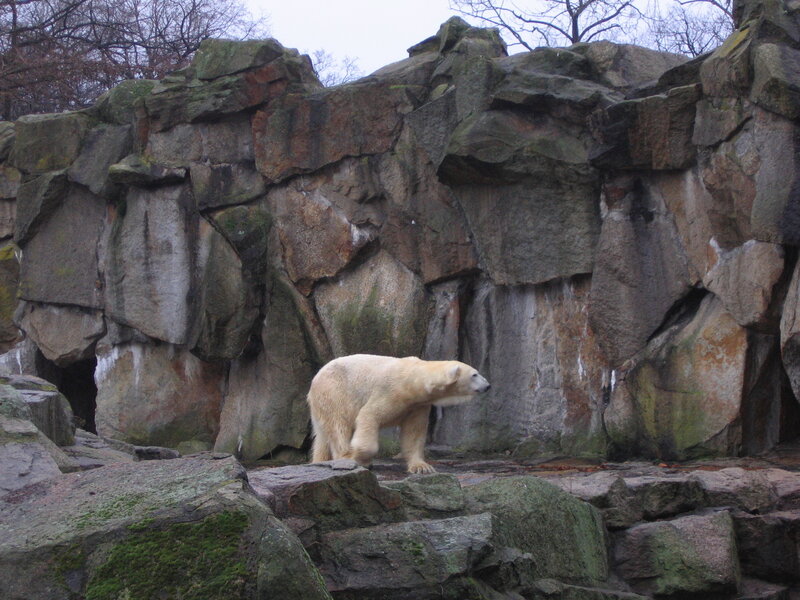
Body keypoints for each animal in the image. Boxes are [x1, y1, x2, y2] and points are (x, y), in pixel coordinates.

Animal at [306, 354, 491, 474]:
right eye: (474, 374)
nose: (488, 385)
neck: (412, 379)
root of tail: (314, 380)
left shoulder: (417, 405)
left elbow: (414, 433)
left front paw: (422, 467)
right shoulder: (390, 392)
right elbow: (369, 416)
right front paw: (361, 458)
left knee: (323, 437)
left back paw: (319, 461)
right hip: (335, 392)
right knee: (339, 424)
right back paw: (345, 457)